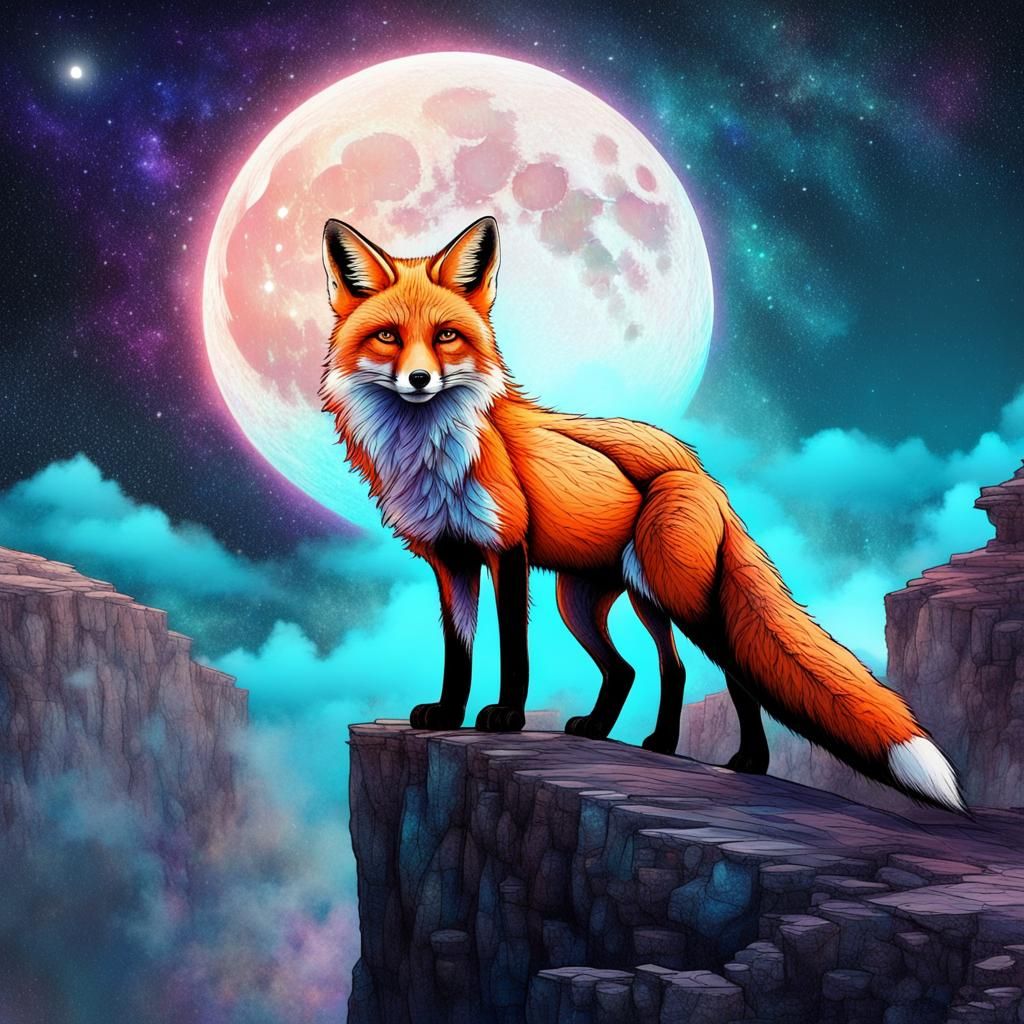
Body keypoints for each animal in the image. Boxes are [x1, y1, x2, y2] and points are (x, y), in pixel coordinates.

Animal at [318, 215, 966, 815]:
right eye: (388, 336)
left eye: (447, 335)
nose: (419, 379)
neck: (431, 453)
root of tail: (697, 470)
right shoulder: (449, 558)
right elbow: (459, 651)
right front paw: (449, 712)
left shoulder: (506, 549)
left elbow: (513, 649)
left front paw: (504, 715)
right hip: (602, 598)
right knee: (646, 669)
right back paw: (632, 737)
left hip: (678, 596)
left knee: (727, 670)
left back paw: (748, 760)